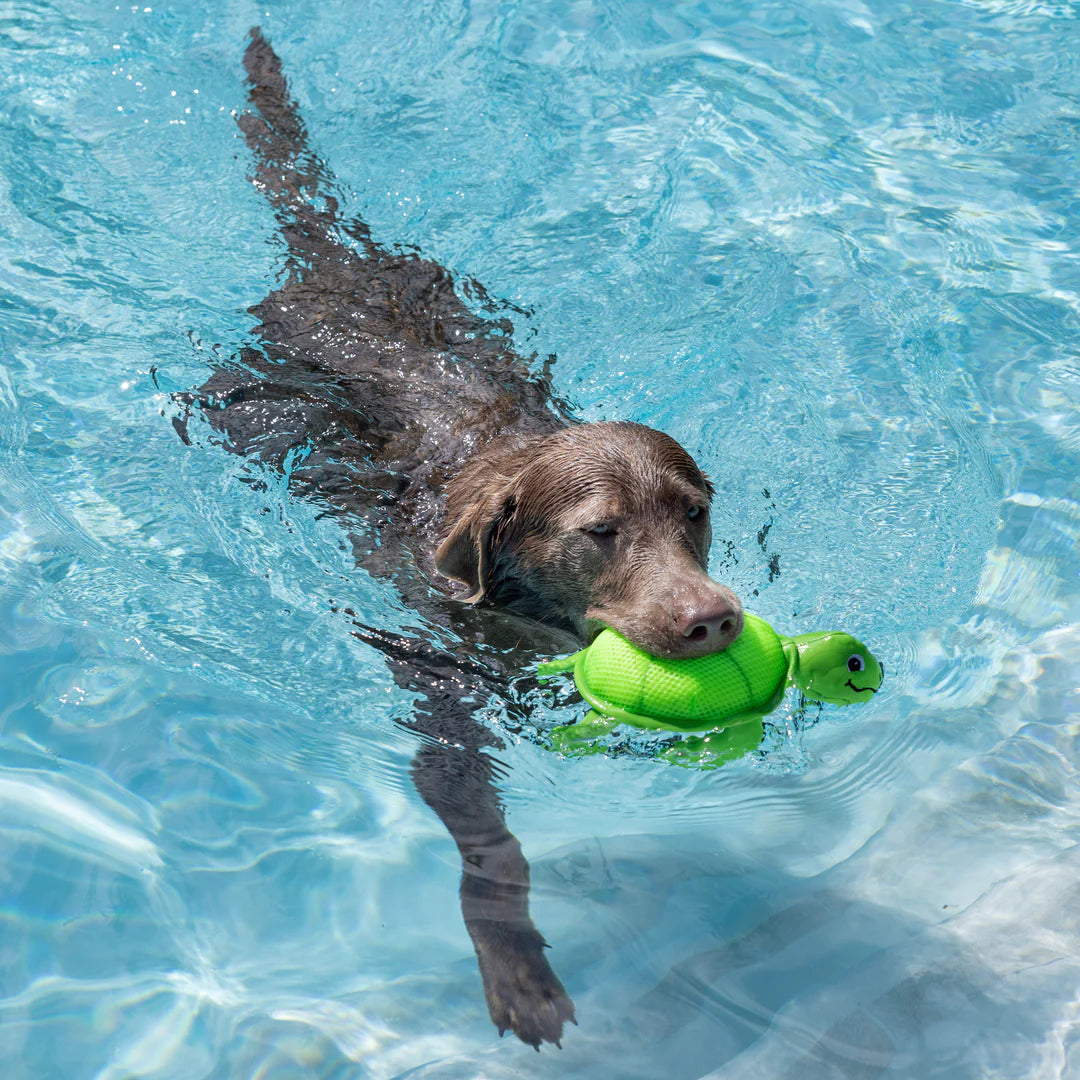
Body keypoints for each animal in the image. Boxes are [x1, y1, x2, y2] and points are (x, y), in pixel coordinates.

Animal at [174, 29, 743, 1049]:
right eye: (601, 531)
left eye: (696, 513)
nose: (713, 618)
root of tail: (337, 265)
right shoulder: (438, 695)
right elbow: (492, 845)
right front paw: (521, 974)